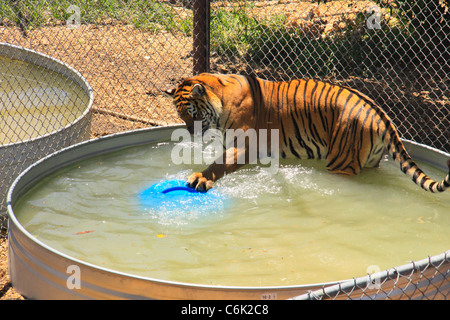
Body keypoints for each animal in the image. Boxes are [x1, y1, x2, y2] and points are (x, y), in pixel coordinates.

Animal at [166, 72, 450, 192]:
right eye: (180, 114)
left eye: (193, 114)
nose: (190, 132)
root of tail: (379, 111)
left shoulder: (243, 146)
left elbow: (219, 164)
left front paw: (200, 179)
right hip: (371, 161)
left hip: (341, 162)